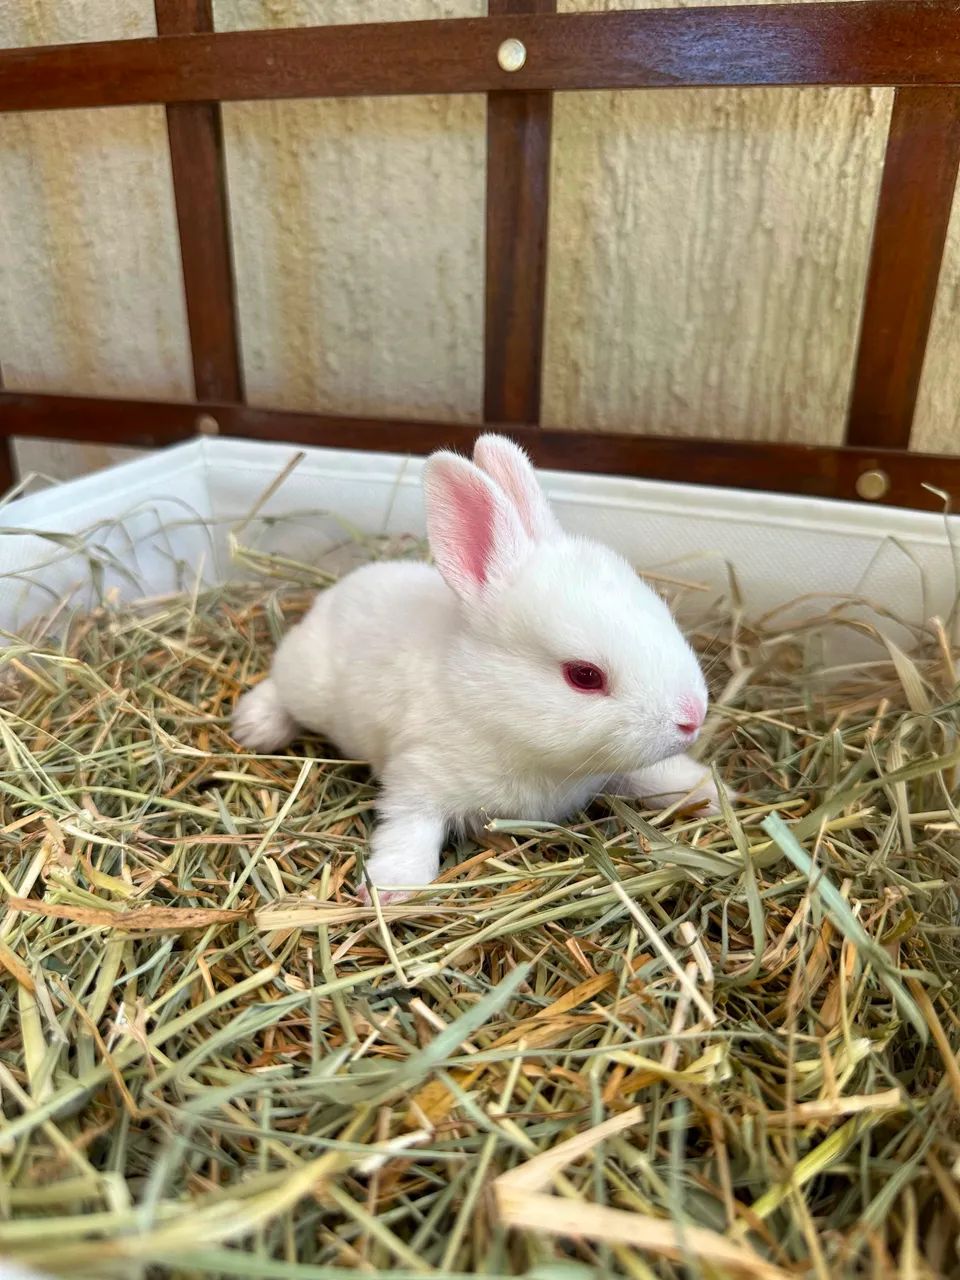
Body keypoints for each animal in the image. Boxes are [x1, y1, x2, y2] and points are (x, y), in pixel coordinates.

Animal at [232, 435, 730, 900]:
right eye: (584, 676)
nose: (693, 718)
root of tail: (331, 595)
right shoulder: (418, 777)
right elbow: (409, 827)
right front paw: (391, 886)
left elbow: (653, 774)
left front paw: (708, 790)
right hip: (307, 684)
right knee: (279, 686)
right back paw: (253, 726)